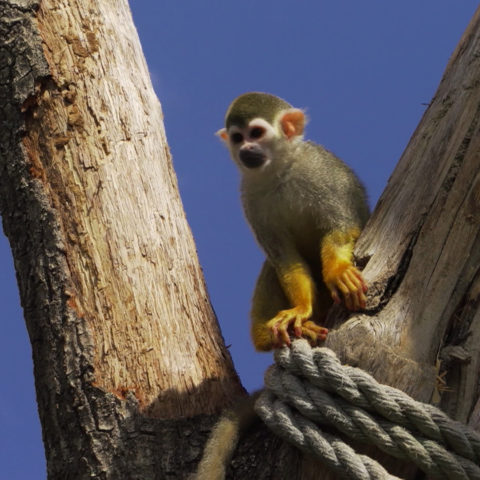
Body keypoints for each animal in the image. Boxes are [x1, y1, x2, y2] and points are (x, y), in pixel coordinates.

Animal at [216, 92, 370, 350]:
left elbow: (342, 226)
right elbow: (284, 258)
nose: (245, 148)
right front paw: (300, 308)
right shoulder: (250, 197)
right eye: (237, 138)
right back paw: (268, 336)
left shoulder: (320, 169)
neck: (279, 172)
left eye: (256, 133)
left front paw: (337, 270)